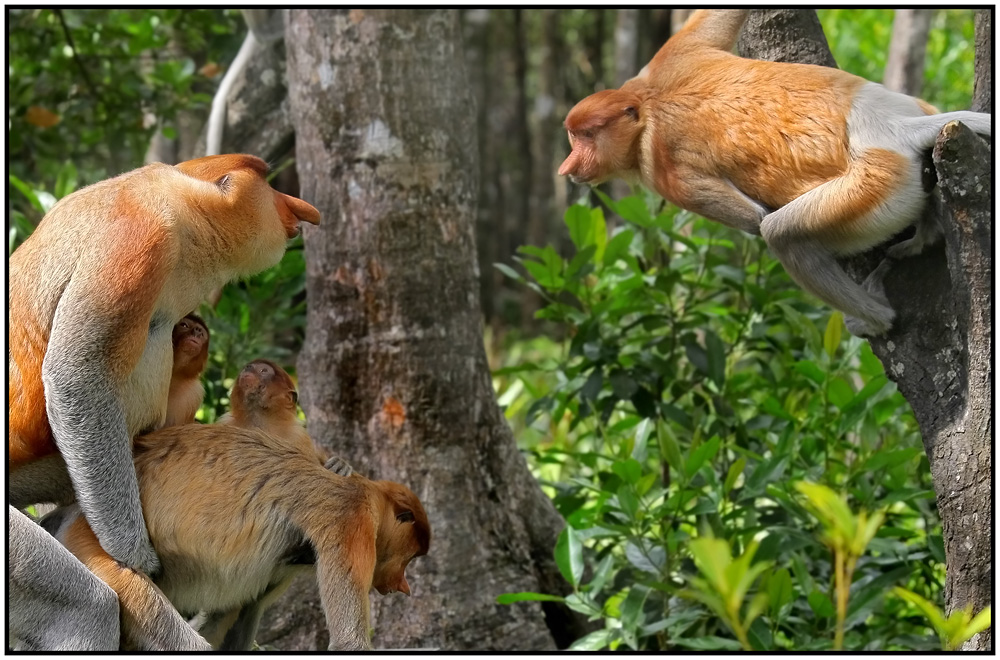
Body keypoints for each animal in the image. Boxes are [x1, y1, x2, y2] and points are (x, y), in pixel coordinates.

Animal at [6, 153, 320, 648]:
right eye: (268, 183)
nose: (296, 206)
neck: (183, 204)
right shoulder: (140, 235)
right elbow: (78, 371)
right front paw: (137, 556)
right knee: (83, 608)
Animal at [44, 426, 430, 652]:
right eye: (412, 557)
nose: (404, 585)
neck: (371, 495)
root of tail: (73, 510)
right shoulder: (352, 518)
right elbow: (348, 640)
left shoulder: (287, 567)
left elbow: (238, 614)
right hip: (90, 542)